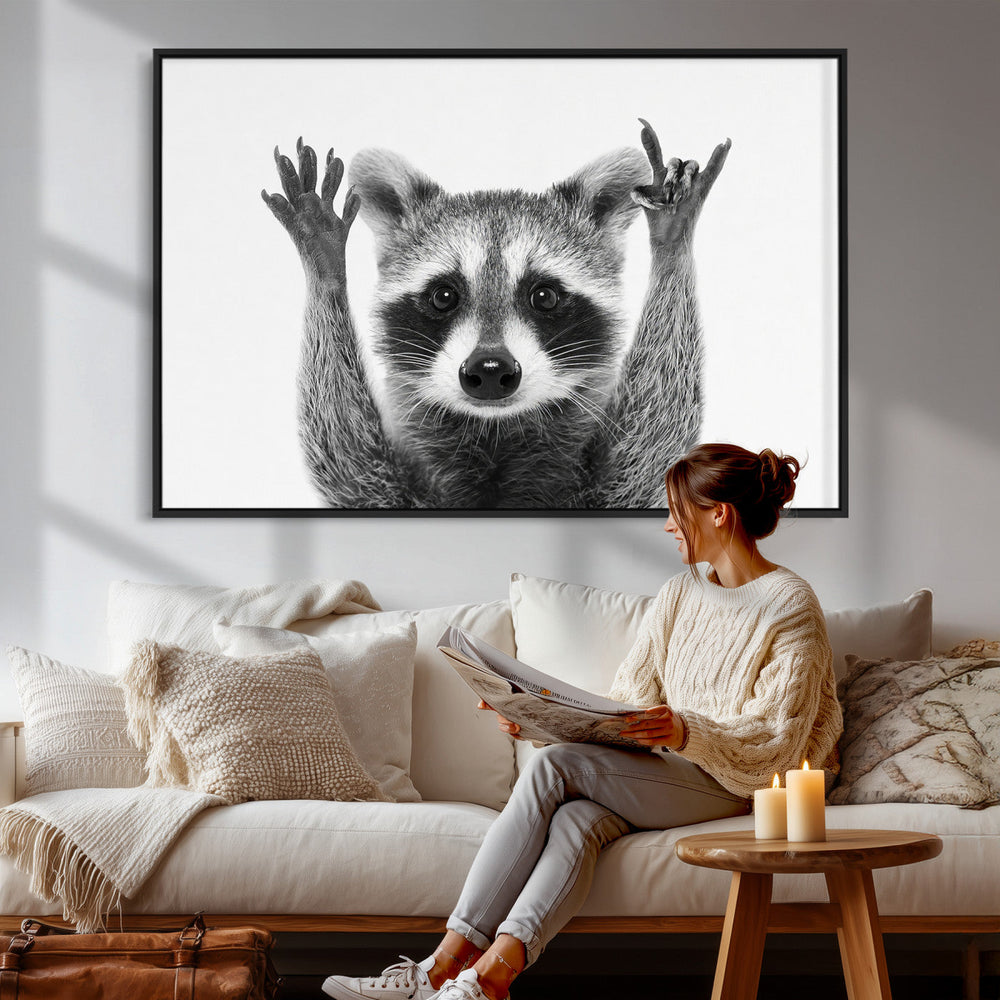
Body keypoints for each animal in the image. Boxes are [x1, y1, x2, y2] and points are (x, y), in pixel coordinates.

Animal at [262, 120, 729, 509]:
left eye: (544, 296)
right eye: (443, 296)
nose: (489, 369)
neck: (495, 434)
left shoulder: (611, 486)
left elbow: (653, 442)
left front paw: (672, 241)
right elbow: (345, 459)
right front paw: (324, 264)